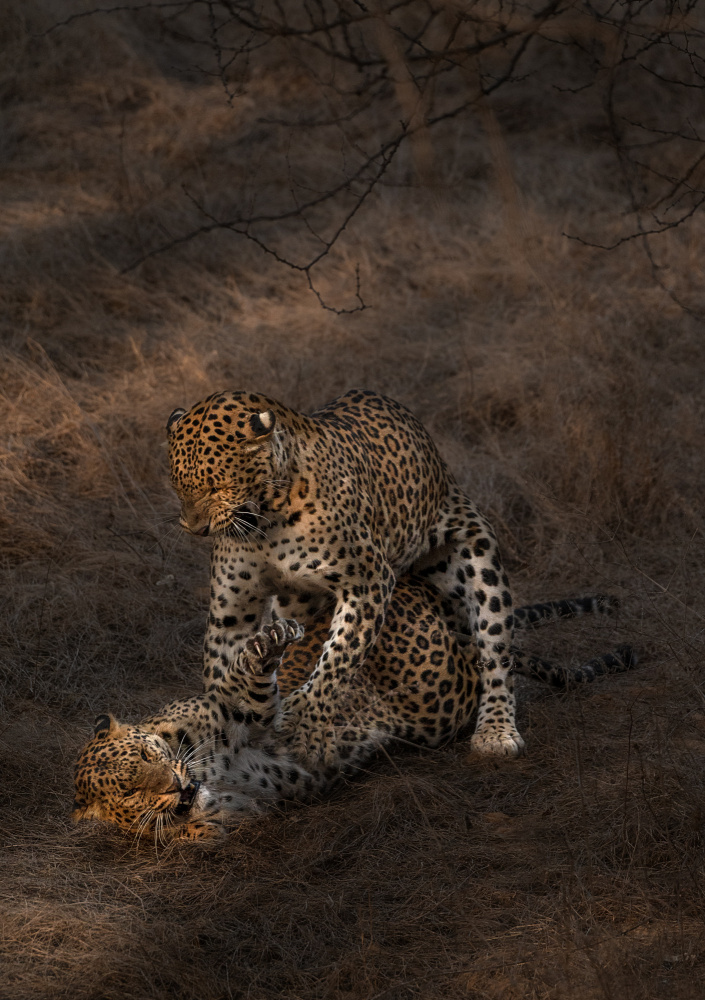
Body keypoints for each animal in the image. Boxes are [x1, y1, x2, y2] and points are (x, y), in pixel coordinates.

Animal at [73, 580, 640, 844]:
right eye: (130, 790)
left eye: (151, 754)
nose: (174, 783)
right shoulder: (238, 810)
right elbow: (205, 825)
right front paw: (183, 818)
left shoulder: (242, 715)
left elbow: (248, 688)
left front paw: (269, 643)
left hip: (433, 678)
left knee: (499, 653)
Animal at [166, 386, 528, 760]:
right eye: (178, 486)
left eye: (217, 487)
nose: (194, 527)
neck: (265, 521)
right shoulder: (233, 609)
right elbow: (222, 670)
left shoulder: (368, 582)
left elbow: (339, 657)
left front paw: (304, 717)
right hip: (295, 603)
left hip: (479, 556)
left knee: (497, 655)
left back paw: (496, 731)